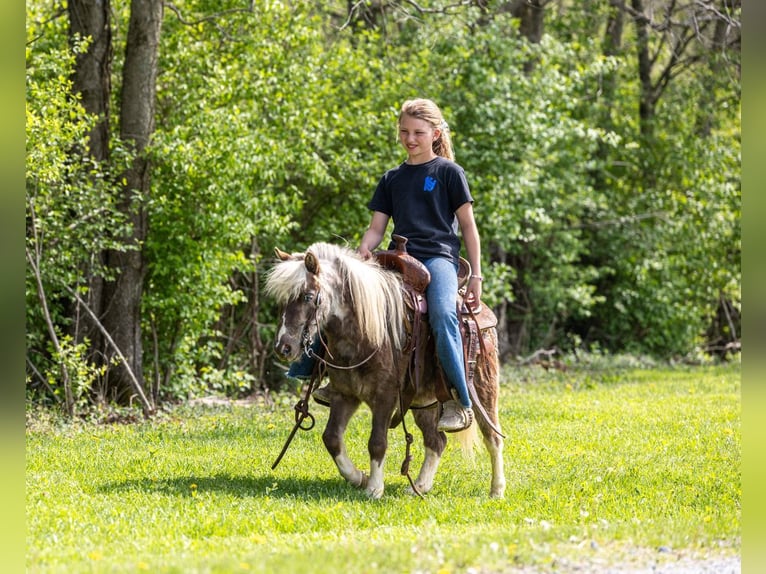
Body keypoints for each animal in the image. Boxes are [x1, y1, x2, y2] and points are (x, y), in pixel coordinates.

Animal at [264, 241, 505, 499]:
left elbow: (377, 442)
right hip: (425, 403)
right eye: (282, 300)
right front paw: (359, 477)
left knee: (493, 436)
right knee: (436, 440)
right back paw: (419, 486)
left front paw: (374, 488)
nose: (283, 347)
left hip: (483, 389)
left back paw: (497, 490)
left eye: (308, 296)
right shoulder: (344, 395)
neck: (364, 332)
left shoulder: (384, 397)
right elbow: (331, 438)